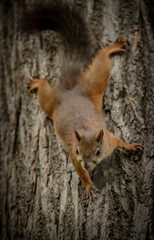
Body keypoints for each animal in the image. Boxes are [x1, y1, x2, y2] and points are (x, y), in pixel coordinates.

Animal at [23, 0, 143, 199]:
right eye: (78, 150)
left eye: (98, 151)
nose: (87, 164)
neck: (87, 130)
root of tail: (70, 87)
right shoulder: (73, 155)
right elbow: (79, 172)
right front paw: (88, 185)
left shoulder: (109, 140)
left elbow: (120, 141)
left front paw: (131, 146)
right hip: (53, 102)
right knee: (45, 89)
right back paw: (38, 82)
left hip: (94, 83)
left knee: (101, 59)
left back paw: (112, 47)